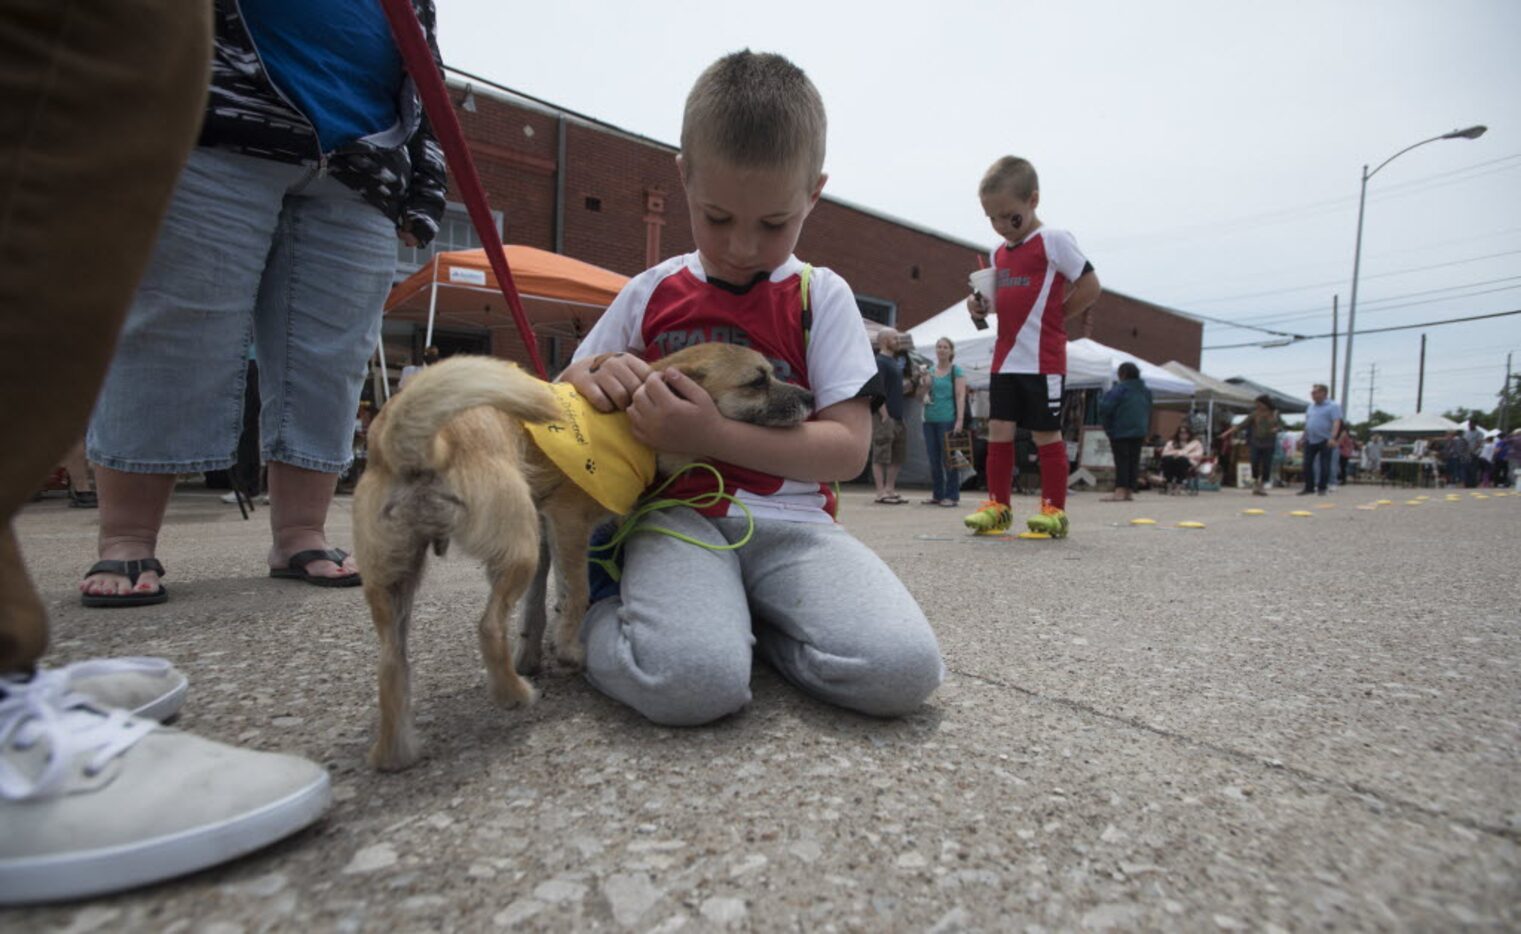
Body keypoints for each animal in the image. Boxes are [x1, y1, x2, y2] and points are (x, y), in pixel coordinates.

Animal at [352, 343, 821, 775]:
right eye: (757, 381)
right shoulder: (568, 523)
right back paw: (512, 693)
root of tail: (408, 442)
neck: (631, 419)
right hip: (516, 547)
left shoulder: (547, 530)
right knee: (488, 627)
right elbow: (575, 593)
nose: (812, 398)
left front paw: (537, 651)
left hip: (397, 580)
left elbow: (540, 604)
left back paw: (396, 753)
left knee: (391, 666)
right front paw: (568, 650)